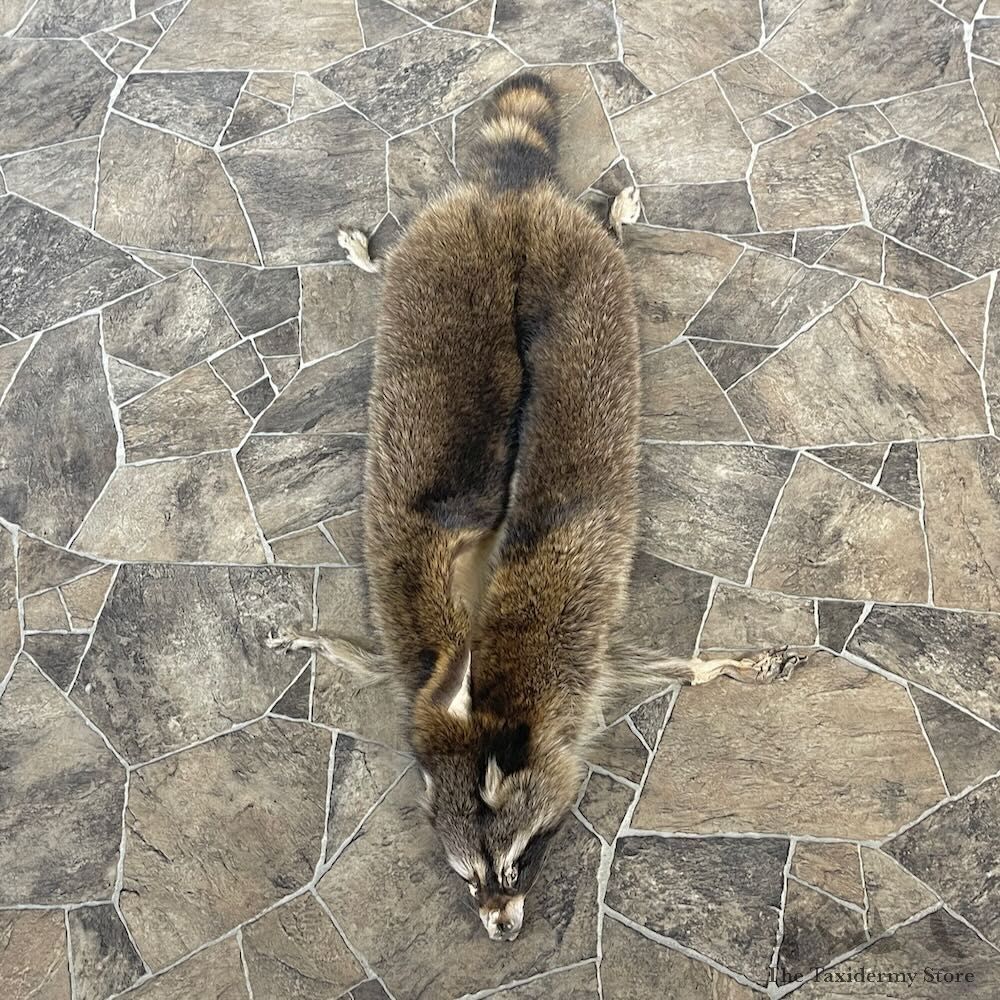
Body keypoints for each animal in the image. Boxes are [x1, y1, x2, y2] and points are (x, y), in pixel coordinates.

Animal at [269, 73, 799, 941]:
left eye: (517, 862)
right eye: (467, 877)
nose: (501, 929)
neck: (487, 716)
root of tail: (507, 199)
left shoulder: (579, 669)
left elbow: (657, 663)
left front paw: (719, 664)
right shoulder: (413, 671)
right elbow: (366, 653)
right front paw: (319, 640)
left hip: (573, 271)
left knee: (599, 251)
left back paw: (602, 224)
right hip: (451, 268)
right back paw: (380, 258)